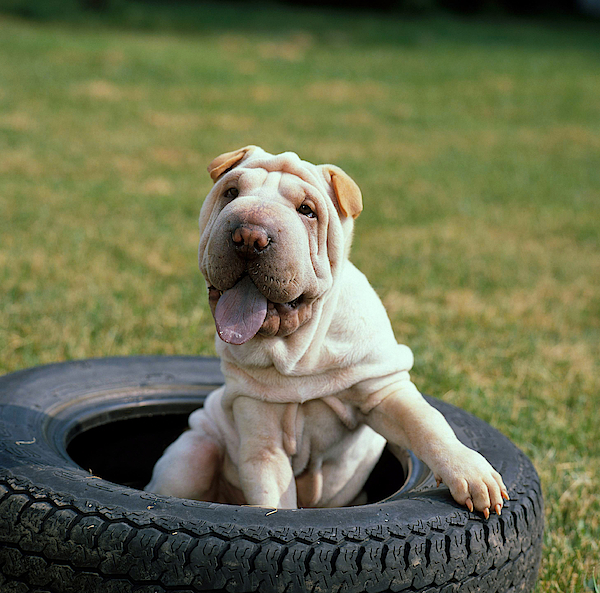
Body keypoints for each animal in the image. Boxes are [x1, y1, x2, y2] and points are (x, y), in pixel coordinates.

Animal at [145, 146, 506, 516]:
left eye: (307, 210)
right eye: (231, 192)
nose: (248, 236)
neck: (298, 353)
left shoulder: (382, 388)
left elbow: (427, 424)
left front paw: (472, 474)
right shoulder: (261, 432)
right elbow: (272, 493)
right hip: (194, 453)